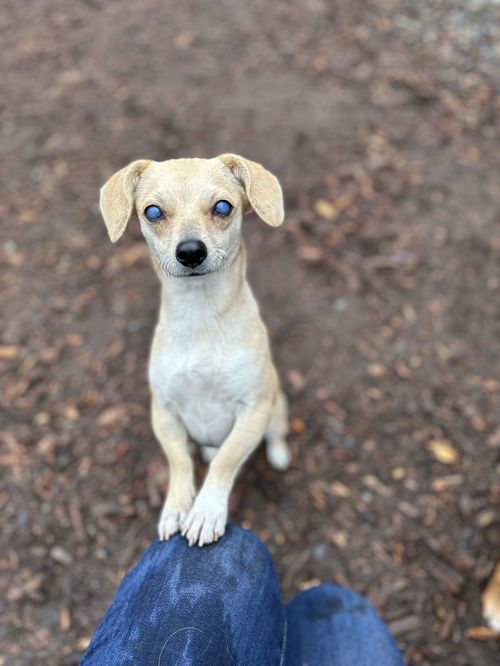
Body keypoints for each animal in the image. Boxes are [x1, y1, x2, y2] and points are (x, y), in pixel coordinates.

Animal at [99, 154, 292, 544]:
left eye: (223, 207)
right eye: (153, 212)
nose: (190, 251)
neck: (201, 316)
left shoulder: (253, 410)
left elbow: (226, 460)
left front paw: (205, 511)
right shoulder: (164, 410)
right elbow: (179, 461)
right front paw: (176, 506)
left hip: (276, 407)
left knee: (273, 434)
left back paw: (278, 454)